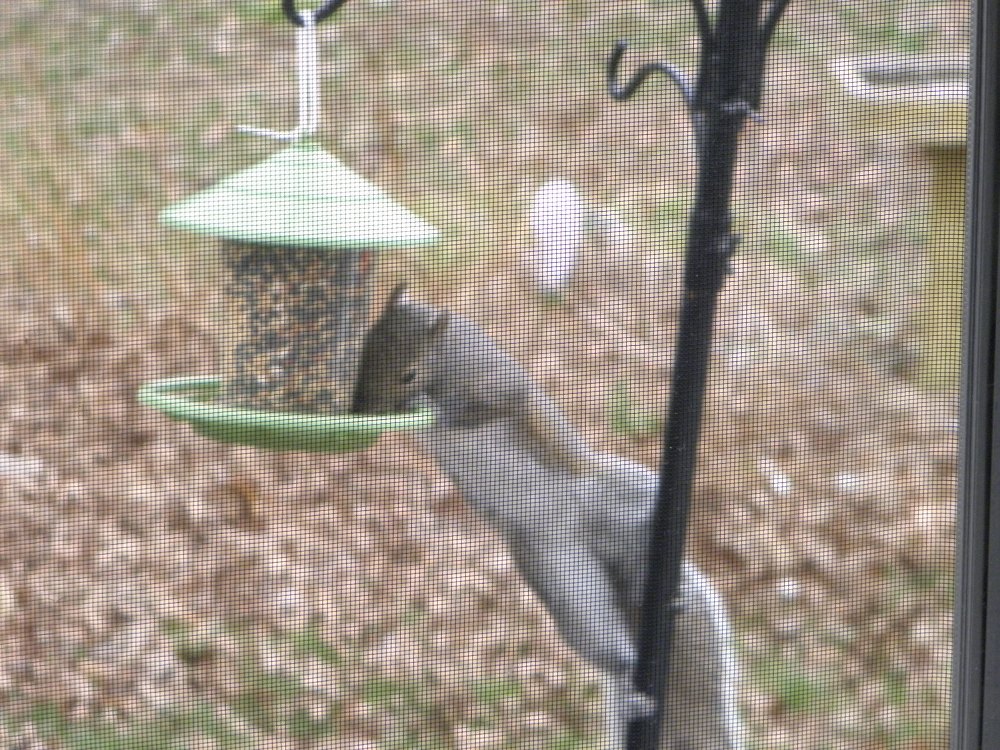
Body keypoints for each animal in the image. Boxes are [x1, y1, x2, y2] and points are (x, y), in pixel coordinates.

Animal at [352, 284, 745, 750]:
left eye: (409, 373)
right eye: (363, 350)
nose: (360, 411)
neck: (446, 355)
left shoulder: (496, 381)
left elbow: (492, 404)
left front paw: (431, 405)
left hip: (623, 496)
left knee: (644, 530)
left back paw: (662, 580)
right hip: (562, 578)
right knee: (611, 650)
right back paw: (631, 689)